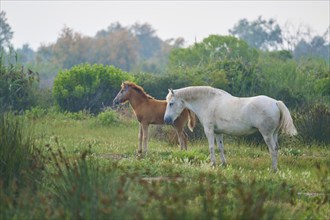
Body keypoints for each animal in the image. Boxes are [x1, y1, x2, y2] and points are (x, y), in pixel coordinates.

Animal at [164, 86, 298, 172]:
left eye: (171, 103)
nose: (166, 120)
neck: (208, 102)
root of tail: (276, 103)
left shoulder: (209, 130)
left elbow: (211, 147)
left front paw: (213, 164)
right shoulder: (218, 133)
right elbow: (221, 147)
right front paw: (223, 164)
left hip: (267, 135)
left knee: (272, 149)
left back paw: (273, 169)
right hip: (274, 134)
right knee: (276, 148)